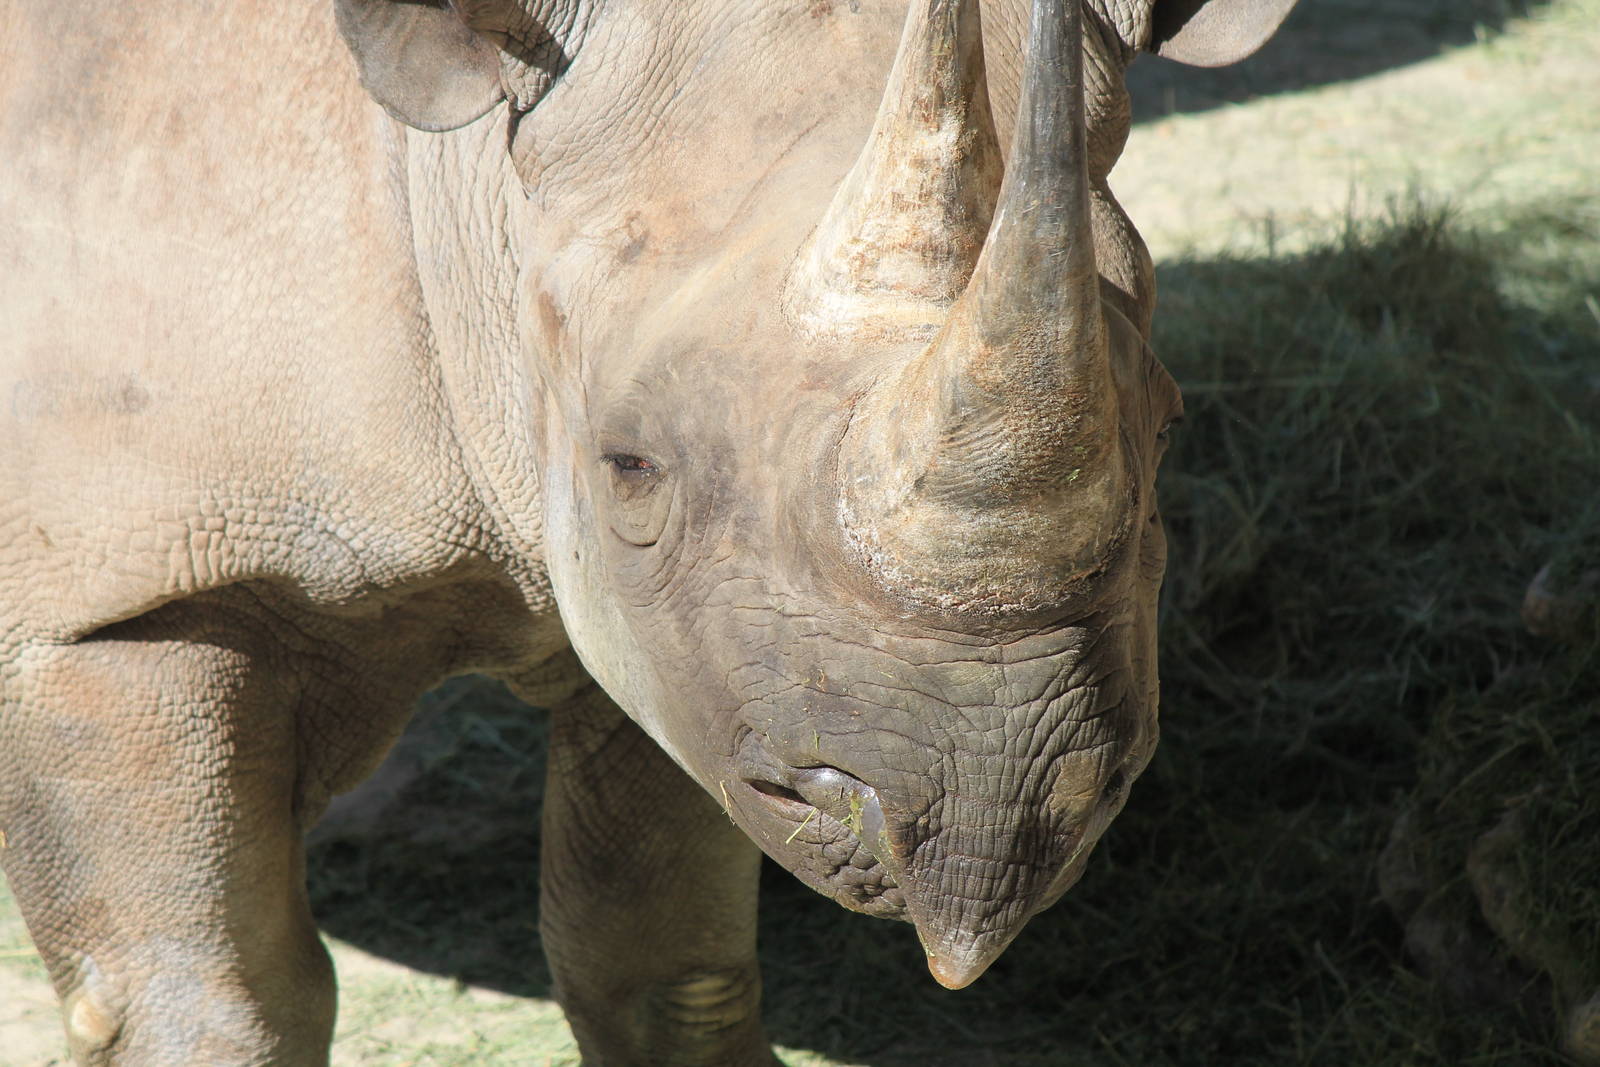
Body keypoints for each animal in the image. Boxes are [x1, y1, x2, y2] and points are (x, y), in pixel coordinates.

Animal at [0, 0, 1295, 1062]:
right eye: (628, 465)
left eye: (1169, 426)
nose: (989, 822)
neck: (459, 176)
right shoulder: (108, 602)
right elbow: (217, 1003)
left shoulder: (698, 643)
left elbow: (655, 954)